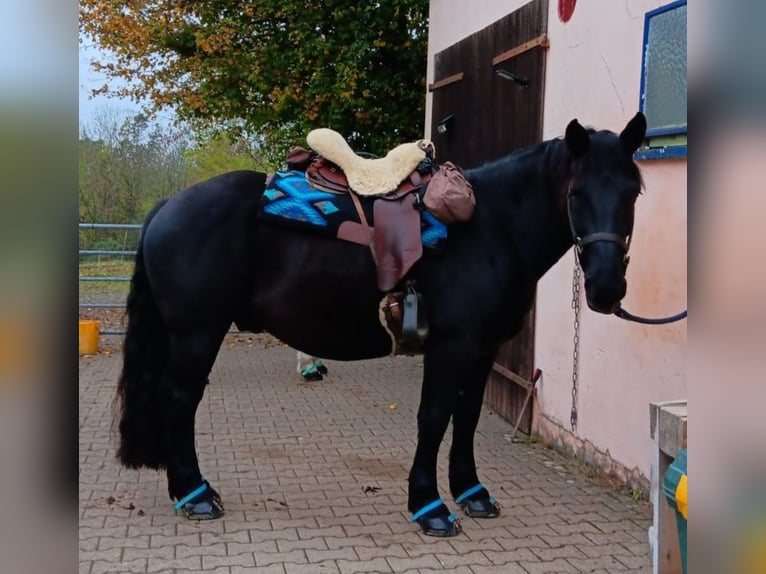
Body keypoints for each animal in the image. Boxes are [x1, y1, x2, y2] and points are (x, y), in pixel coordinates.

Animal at [115, 113, 648, 540]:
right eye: (576, 193)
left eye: (634, 191)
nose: (606, 289)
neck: (491, 228)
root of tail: (169, 206)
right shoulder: (451, 346)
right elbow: (433, 417)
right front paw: (429, 508)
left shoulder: (484, 350)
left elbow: (468, 416)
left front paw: (472, 493)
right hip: (197, 334)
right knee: (179, 400)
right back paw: (195, 495)